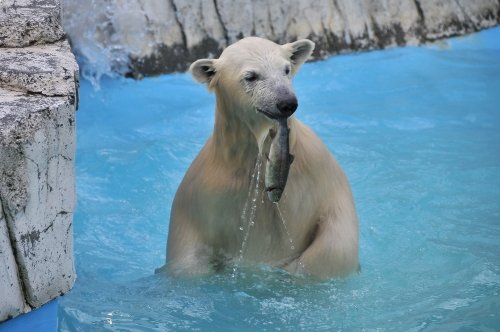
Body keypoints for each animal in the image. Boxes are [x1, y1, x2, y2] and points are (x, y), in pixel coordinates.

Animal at [165, 37, 360, 280]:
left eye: (286, 69)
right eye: (251, 76)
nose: (286, 102)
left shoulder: (319, 174)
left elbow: (335, 243)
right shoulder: (204, 195)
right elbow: (186, 260)